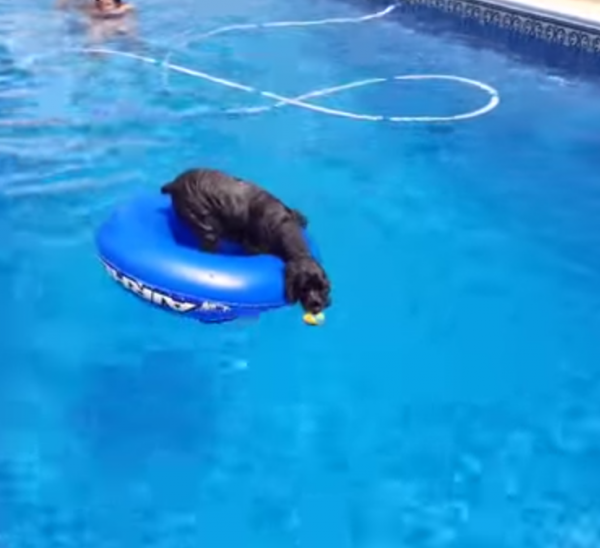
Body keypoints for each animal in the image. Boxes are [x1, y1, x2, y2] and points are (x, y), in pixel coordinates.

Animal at [161, 168, 331, 316]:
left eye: (322, 288)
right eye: (304, 288)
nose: (317, 305)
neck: (284, 227)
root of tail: (174, 183)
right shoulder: (254, 246)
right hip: (204, 221)